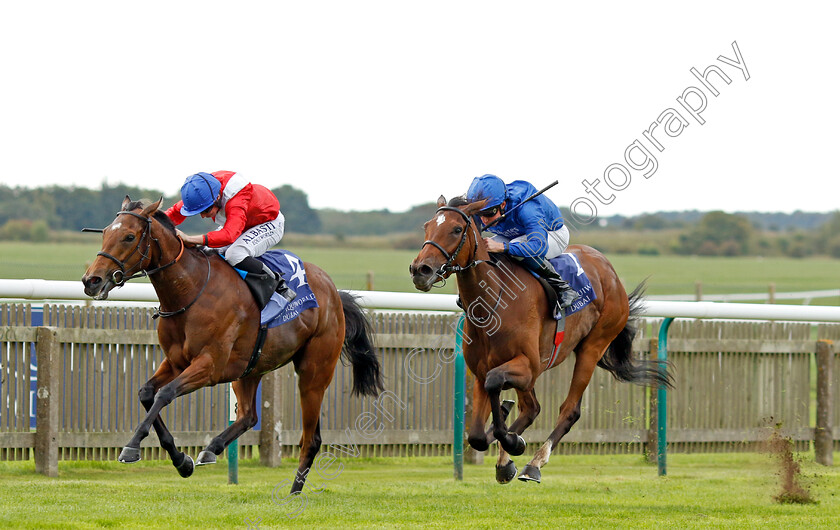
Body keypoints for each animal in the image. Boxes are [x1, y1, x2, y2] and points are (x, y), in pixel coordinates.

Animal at [80, 196, 382, 492]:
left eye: (129, 237)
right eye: (105, 233)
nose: (91, 280)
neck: (190, 291)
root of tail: (334, 292)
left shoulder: (209, 366)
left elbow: (164, 394)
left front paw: (132, 447)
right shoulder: (176, 362)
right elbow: (146, 393)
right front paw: (182, 461)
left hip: (314, 373)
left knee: (312, 438)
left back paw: (294, 492)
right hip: (251, 368)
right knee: (249, 416)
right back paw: (212, 448)